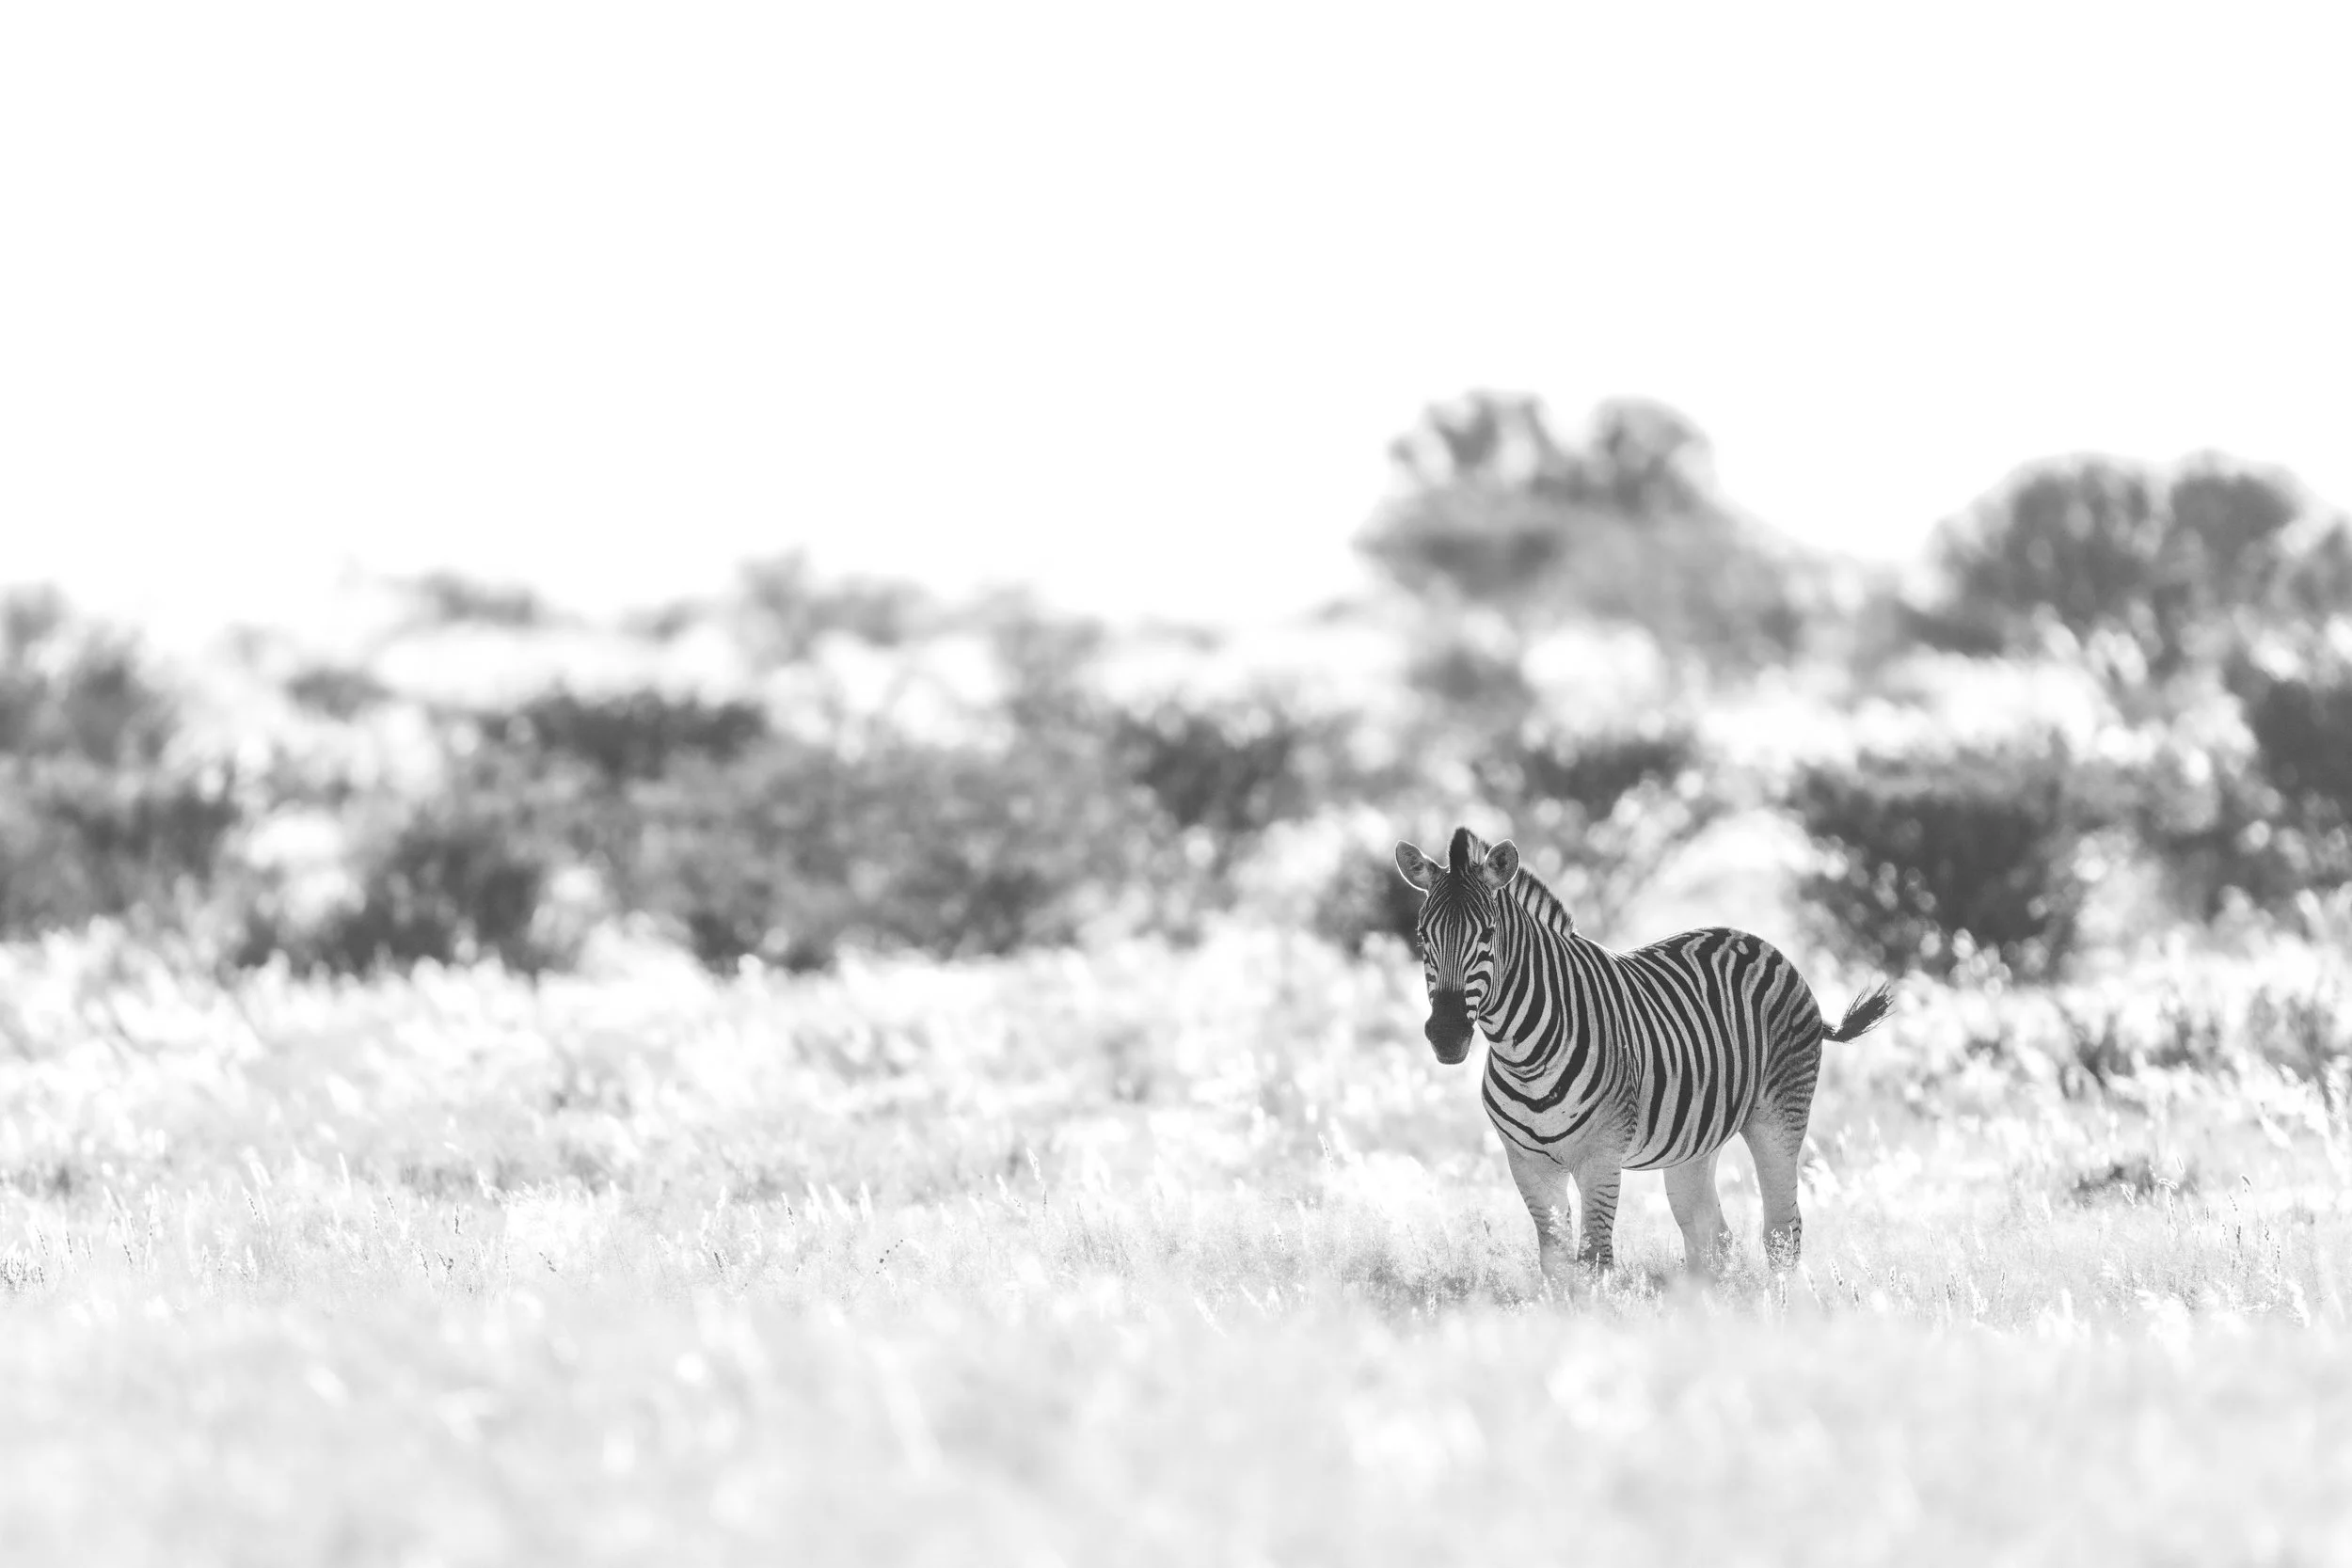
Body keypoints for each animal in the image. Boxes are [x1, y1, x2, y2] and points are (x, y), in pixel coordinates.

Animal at [1394, 826, 1892, 1282]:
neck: (1523, 1055)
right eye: (1421, 936)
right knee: (1713, 1238)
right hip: (1695, 1144)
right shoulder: (1526, 1163)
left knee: (1781, 1234)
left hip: (1780, 1117)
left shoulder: (1601, 1156)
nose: (1447, 1034)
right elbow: (1555, 1265)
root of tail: (1759, 942)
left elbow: (1594, 1262)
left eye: (1489, 934)